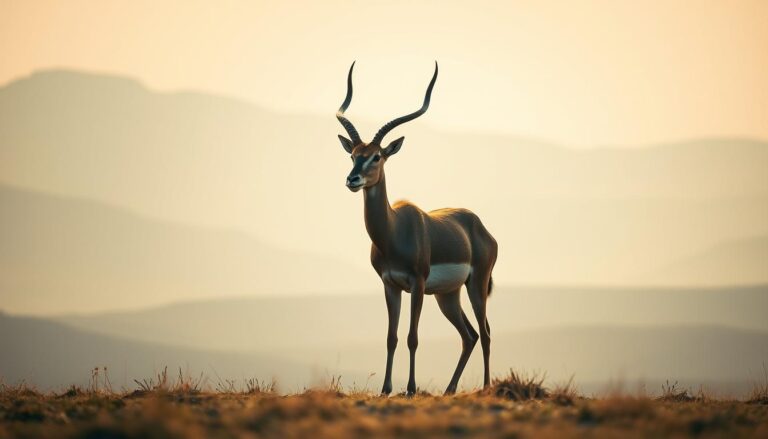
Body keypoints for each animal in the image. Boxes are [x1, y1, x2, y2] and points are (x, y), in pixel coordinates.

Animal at [336, 62, 498, 395]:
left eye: (377, 156)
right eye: (353, 155)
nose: (352, 179)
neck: (393, 232)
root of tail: (479, 226)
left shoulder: (418, 284)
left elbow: (412, 337)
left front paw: (410, 388)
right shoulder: (390, 284)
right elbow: (391, 337)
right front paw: (386, 389)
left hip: (475, 285)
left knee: (486, 332)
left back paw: (486, 388)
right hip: (448, 295)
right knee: (470, 335)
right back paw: (449, 389)